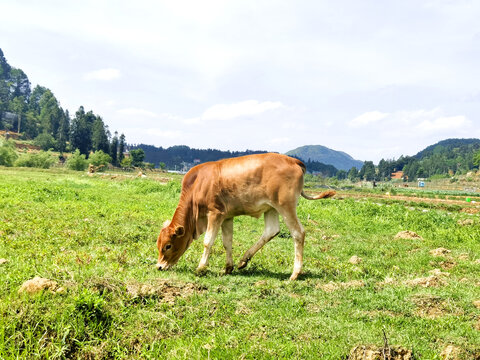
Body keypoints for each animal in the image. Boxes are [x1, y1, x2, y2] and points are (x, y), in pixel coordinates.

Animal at [157, 153, 334, 280]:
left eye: (168, 246)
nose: (159, 266)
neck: (198, 184)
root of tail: (294, 160)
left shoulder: (215, 213)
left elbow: (208, 242)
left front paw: (201, 268)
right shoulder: (226, 216)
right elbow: (227, 242)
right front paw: (228, 267)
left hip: (286, 206)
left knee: (298, 233)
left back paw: (295, 273)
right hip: (271, 208)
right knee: (271, 231)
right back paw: (244, 260)